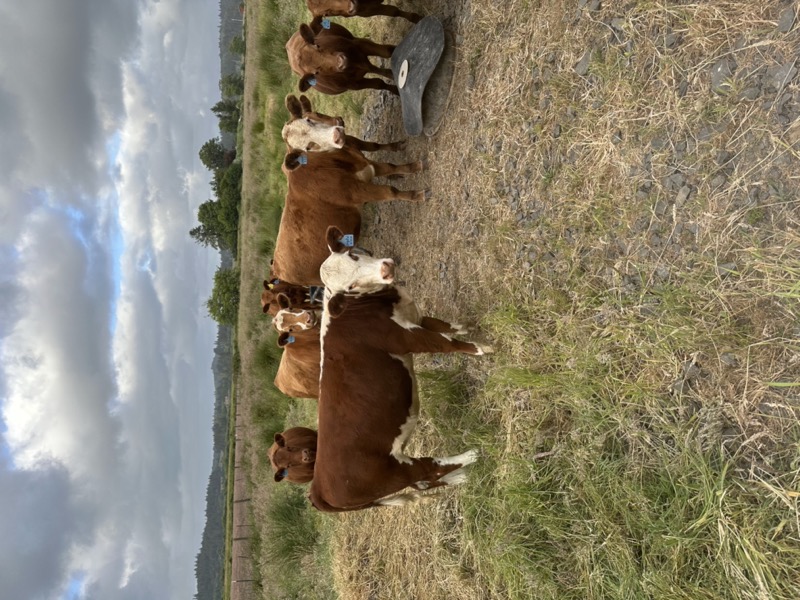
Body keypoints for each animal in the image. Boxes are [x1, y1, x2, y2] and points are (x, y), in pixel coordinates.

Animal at [271, 145, 426, 285]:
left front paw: (415, 166)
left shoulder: (369, 167)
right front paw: (416, 195)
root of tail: (277, 269)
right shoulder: (358, 191)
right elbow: (391, 191)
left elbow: (391, 167)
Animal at [300, 226, 492, 512]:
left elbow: (445, 326)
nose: (386, 269)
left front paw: (466, 327)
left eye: (353, 254)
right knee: (428, 469)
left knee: (424, 483)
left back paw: (460, 478)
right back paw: (470, 456)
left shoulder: (417, 318)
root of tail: (317, 491)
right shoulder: (408, 338)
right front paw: (483, 348)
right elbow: (446, 343)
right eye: (350, 287)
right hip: (394, 472)